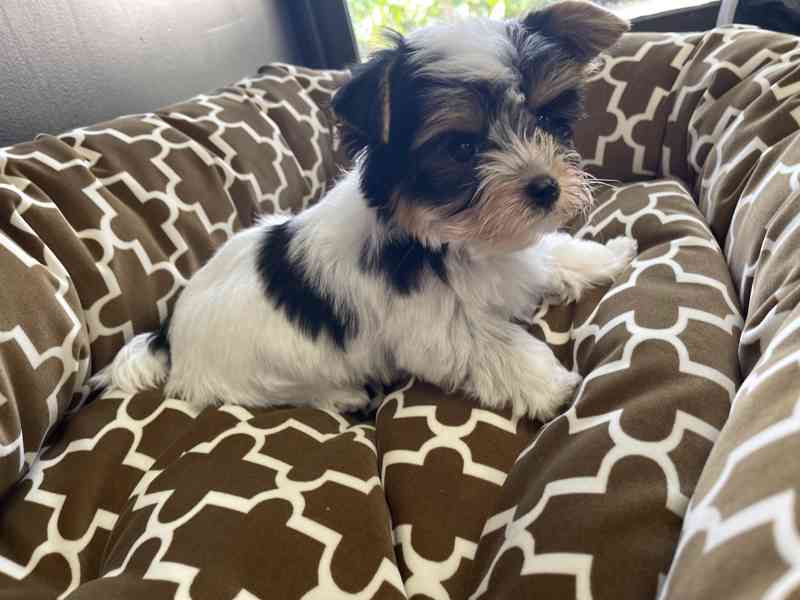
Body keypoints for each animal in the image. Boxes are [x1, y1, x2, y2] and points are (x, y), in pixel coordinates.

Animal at [91, 1, 635, 421]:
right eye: (461, 148)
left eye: (546, 118)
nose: (546, 188)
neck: (442, 240)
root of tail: (168, 334)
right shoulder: (439, 329)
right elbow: (496, 346)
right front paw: (553, 386)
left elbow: (549, 255)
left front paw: (604, 257)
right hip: (253, 374)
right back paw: (343, 394)